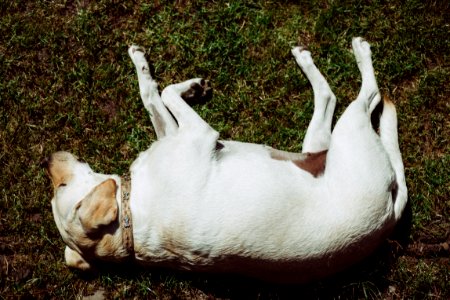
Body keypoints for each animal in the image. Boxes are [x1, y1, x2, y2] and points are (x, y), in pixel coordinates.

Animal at [43, 38, 408, 284]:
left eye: (58, 185)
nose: (47, 159)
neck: (130, 221)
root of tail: (388, 217)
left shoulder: (176, 134)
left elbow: (153, 95)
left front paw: (145, 67)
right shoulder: (199, 134)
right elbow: (166, 93)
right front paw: (188, 85)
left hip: (317, 145)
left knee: (330, 95)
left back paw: (307, 59)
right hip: (349, 131)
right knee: (369, 94)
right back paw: (359, 52)